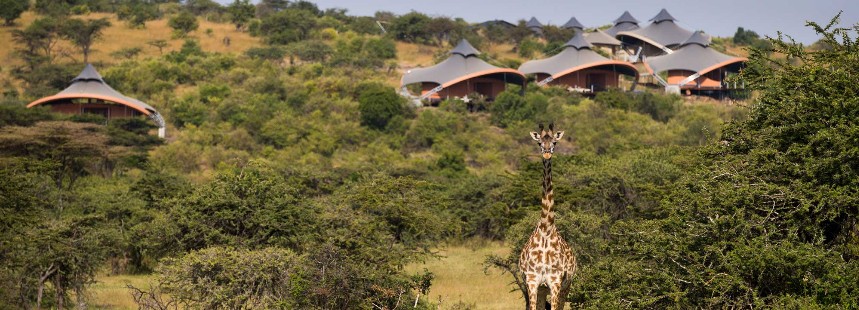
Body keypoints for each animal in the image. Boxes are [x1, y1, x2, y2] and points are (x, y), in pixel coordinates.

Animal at [516, 123, 576, 310]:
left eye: (555, 142)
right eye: (539, 142)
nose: (547, 152)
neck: (545, 230)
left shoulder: (555, 282)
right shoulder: (532, 281)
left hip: (566, 286)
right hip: (543, 290)